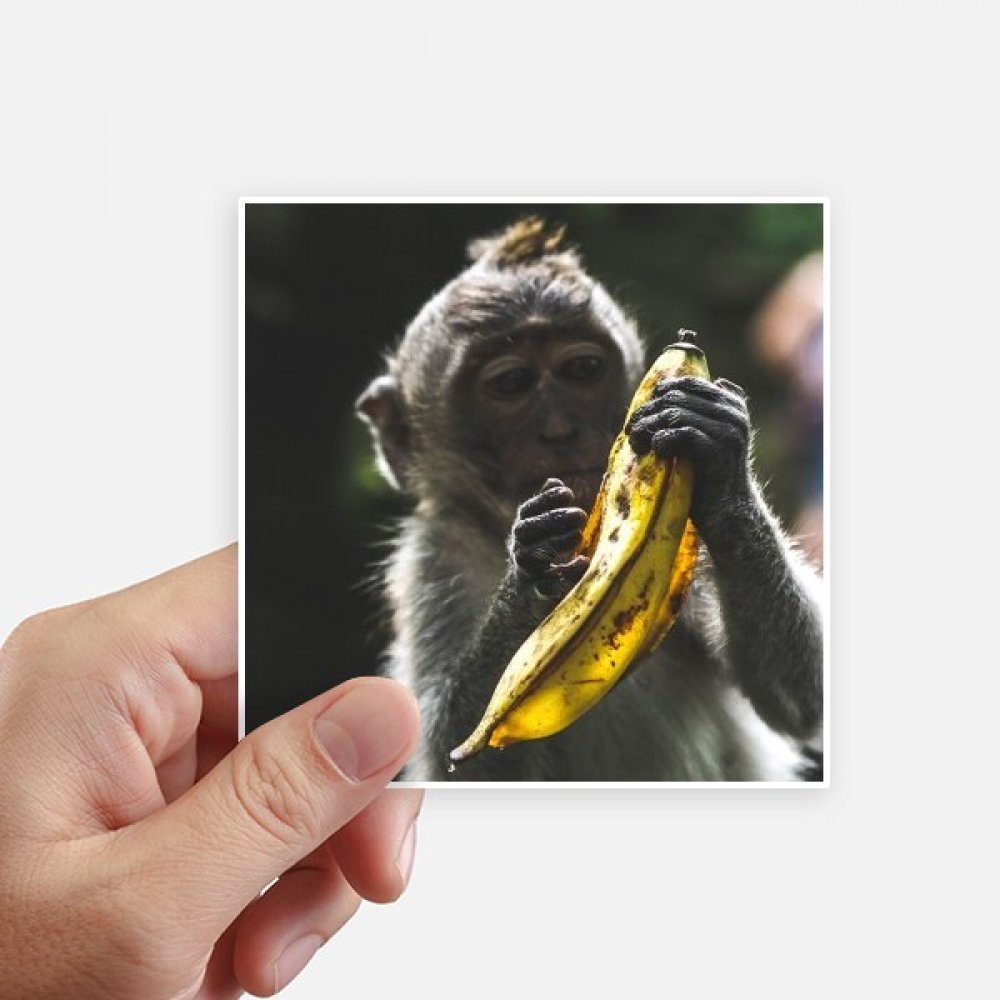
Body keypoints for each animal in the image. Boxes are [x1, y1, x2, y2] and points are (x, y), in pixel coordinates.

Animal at [356, 217, 824, 781]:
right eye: (512, 382)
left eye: (581, 369)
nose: (559, 429)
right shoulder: (431, 562)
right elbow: (460, 763)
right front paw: (531, 571)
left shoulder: (682, 539)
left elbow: (803, 695)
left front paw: (724, 463)